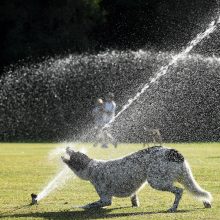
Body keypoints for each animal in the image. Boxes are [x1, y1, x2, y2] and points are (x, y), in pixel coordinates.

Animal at [61, 146, 212, 211]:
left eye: (73, 153)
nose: (67, 146)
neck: (92, 167)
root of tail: (174, 153)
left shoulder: (105, 199)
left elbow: (89, 204)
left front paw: (77, 207)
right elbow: (134, 197)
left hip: (156, 181)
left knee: (179, 191)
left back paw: (173, 208)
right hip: (184, 178)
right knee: (198, 192)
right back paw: (206, 203)